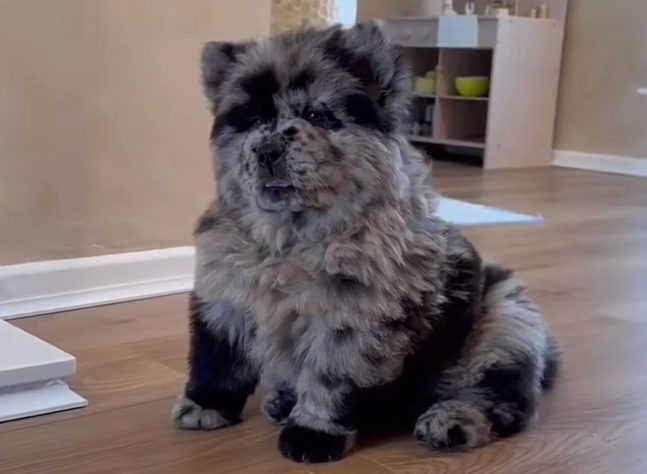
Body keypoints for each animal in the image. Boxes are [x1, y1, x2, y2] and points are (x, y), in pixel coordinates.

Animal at [171, 22, 559, 464]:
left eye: (315, 115)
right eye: (252, 119)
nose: (268, 149)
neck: (291, 237)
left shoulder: (355, 314)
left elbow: (330, 375)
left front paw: (312, 433)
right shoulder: (224, 296)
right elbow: (216, 360)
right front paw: (206, 406)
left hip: (506, 322)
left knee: (503, 399)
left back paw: (450, 421)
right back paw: (283, 401)